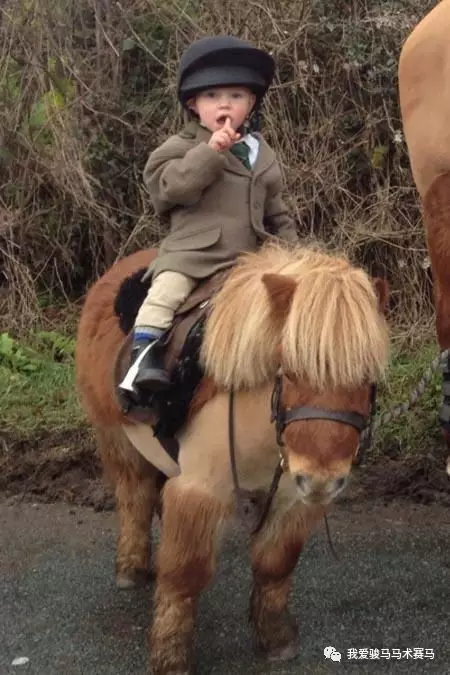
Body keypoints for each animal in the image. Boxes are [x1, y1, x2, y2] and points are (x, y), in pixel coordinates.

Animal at [75, 242, 390, 674]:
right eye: (288, 368)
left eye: (367, 376)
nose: (323, 481)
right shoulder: (202, 488)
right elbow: (185, 574)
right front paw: (171, 656)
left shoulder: (291, 495)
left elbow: (275, 562)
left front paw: (276, 638)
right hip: (116, 438)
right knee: (134, 498)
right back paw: (131, 568)